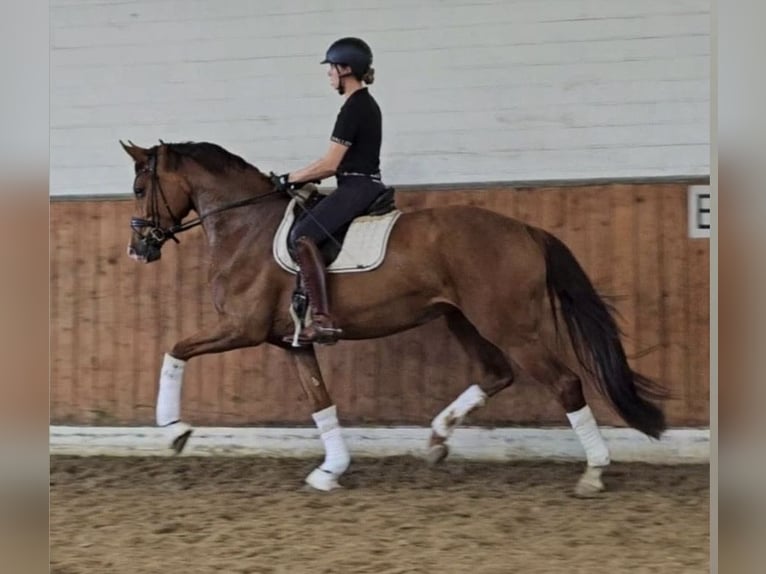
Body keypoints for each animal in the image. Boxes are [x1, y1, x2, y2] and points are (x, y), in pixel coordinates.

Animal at [120, 139, 667, 496]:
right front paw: (331, 471)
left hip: (510, 324)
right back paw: (438, 438)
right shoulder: (292, 341)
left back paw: (594, 472)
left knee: (566, 383)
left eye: (141, 186)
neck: (246, 226)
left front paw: (174, 431)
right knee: (497, 374)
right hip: (461, 319)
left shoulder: (242, 329)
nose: (138, 248)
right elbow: (321, 402)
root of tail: (525, 230)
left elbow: (174, 350)